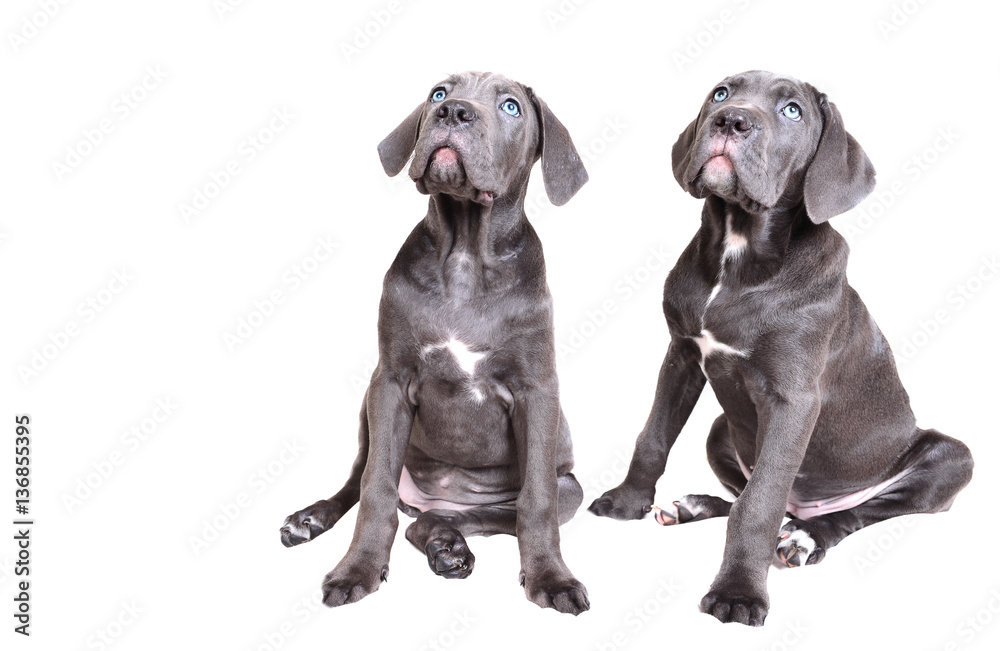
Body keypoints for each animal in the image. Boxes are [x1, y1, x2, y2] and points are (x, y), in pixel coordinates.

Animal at [280, 71, 592, 616]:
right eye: (439, 94)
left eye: (511, 106)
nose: (454, 113)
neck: (465, 253)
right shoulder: (390, 381)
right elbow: (375, 491)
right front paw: (358, 568)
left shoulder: (538, 391)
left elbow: (535, 504)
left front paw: (551, 579)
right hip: (367, 407)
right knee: (360, 484)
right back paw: (313, 519)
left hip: (566, 486)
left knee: (464, 518)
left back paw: (447, 544)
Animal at [588, 71, 972, 628]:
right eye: (721, 93)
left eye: (792, 111)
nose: (731, 120)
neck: (738, 249)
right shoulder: (681, 355)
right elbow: (654, 436)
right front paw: (627, 501)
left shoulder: (793, 400)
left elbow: (761, 503)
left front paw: (739, 592)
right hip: (720, 427)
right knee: (754, 497)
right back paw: (693, 507)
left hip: (951, 457)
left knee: (841, 513)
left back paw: (806, 538)